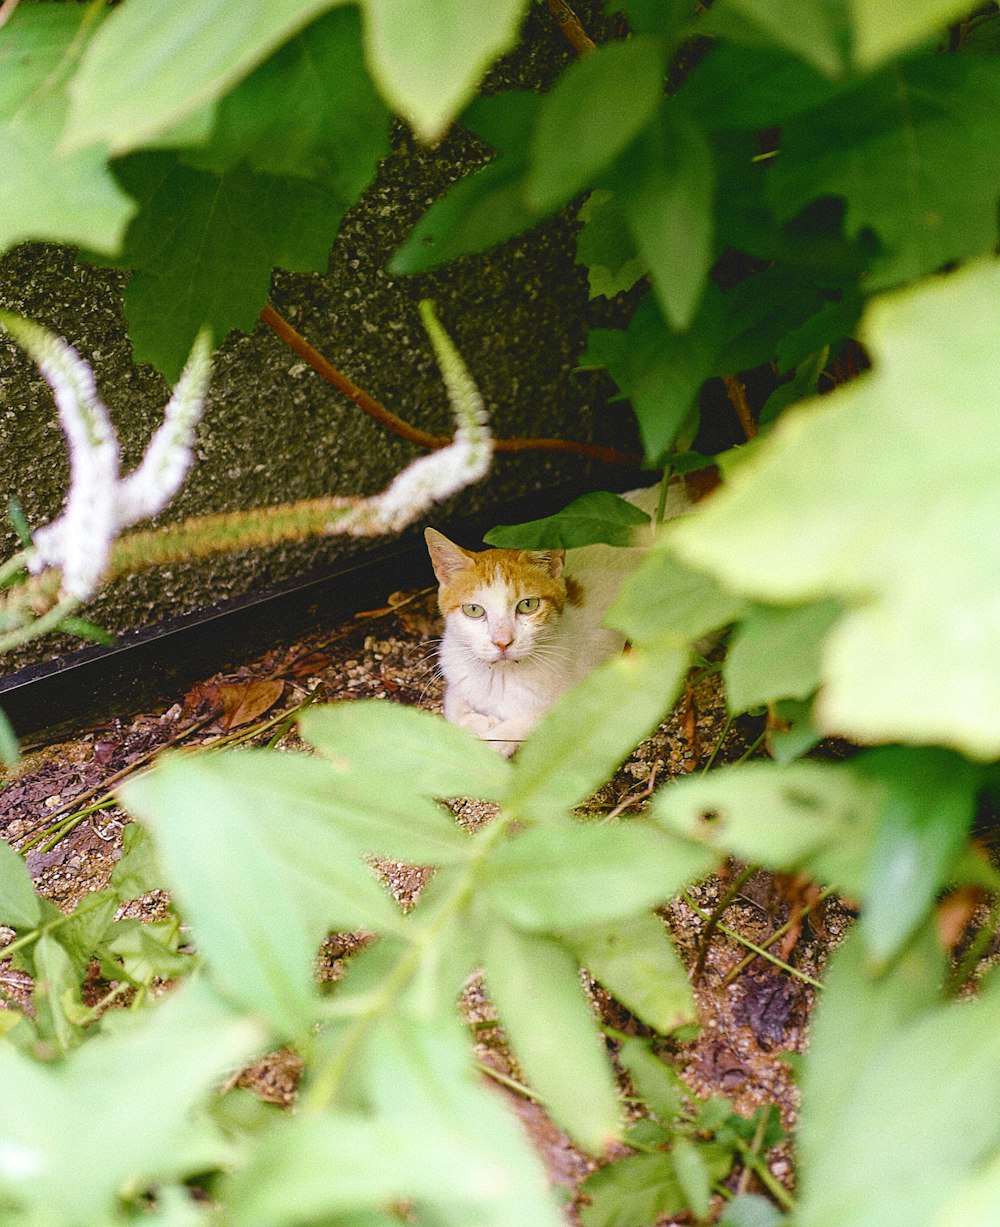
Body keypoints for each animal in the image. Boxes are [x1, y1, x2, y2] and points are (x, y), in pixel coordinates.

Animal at [422, 480, 687, 750]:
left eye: (528, 605)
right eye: (473, 610)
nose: (502, 642)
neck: (502, 677)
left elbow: (538, 721)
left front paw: (494, 739)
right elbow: (453, 705)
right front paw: (478, 723)